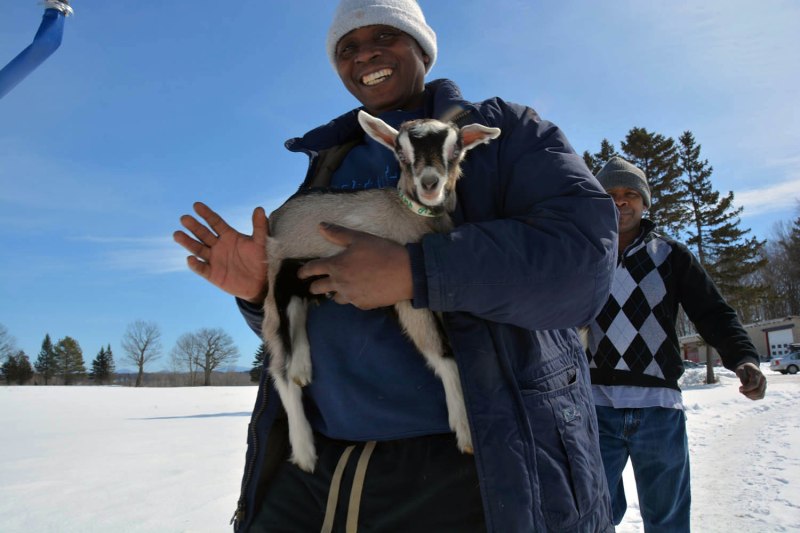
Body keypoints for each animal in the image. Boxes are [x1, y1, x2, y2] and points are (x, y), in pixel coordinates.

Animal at [262, 110, 501, 472]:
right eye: (400, 152)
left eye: (456, 148)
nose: (429, 183)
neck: (411, 216)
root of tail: (277, 217)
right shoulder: (403, 293)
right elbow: (442, 352)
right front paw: (465, 430)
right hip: (277, 280)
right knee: (278, 367)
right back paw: (304, 451)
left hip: (301, 279)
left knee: (298, 316)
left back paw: (303, 367)